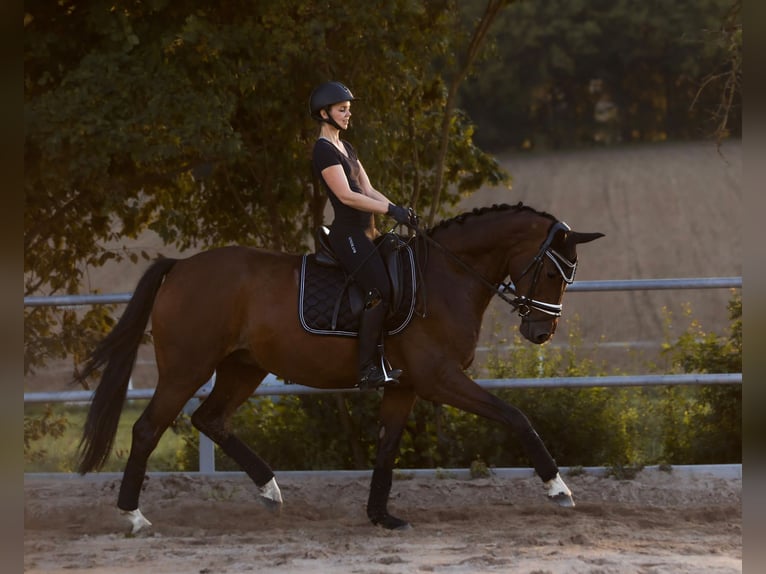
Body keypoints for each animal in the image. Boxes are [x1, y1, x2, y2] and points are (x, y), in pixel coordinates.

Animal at [76, 202, 608, 536]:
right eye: (551, 272)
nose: (540, 333)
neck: (445, 278)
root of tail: (183, 267)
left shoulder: (405, 387)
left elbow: (387, 447)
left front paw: (381, 516)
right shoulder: (440, 380)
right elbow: (515, 416)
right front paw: (559, 488)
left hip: (242, 367)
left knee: (210, 419)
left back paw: (270, 490)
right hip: (187, 368)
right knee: (148, 429)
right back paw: (134, 518)